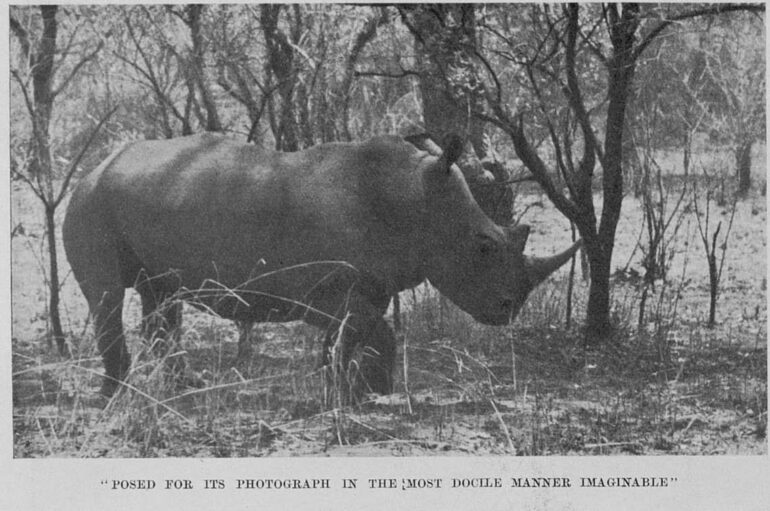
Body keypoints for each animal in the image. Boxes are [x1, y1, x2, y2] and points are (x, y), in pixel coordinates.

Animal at [63, 133, 581, 397]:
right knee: (106, 296)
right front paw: (371, 395)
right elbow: (376, 332)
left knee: (160, 294)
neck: (413, 199)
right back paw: (116, 396)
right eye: (484, 247)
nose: (509, 310)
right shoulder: (320, 291)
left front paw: (354, 390)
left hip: (134, 200)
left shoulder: (369, 283)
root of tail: (95, 166)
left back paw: (182, 388)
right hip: (90, 202)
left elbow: (353, 337)